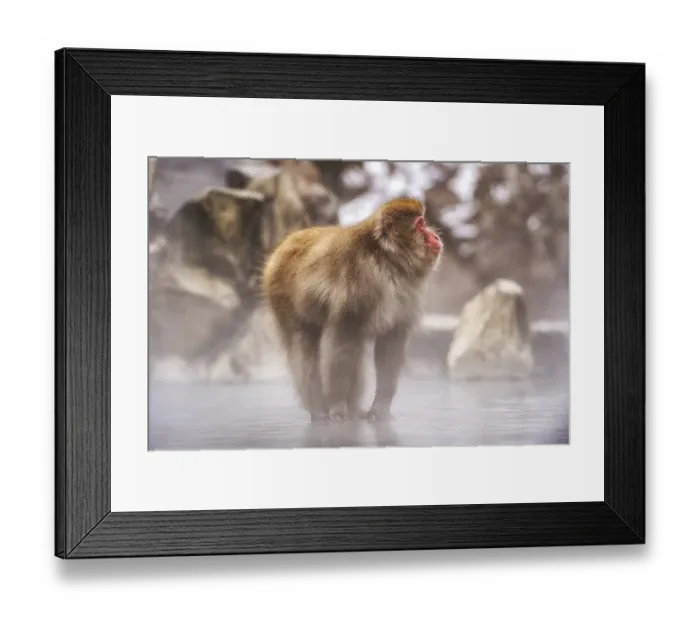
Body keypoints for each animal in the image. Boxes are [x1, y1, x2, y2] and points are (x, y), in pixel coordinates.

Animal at [261, 197, 443, 423]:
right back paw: (318, 408)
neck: (387, 261)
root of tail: (282, 246)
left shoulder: (406, 293)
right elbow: (342, 343)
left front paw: (380, 408)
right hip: (281, 296)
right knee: (303, 346)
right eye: (420, 225)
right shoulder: (358, 283)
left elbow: (390, 344)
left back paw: (353, 409)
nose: (435, 236)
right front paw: (338, 407)